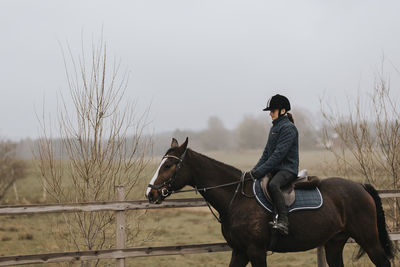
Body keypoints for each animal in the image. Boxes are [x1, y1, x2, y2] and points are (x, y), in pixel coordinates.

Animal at [146, 139, 394, 266]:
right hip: (334, 243)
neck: (235, 198)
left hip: (370, 241)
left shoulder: (256, 251)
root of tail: (361, 186)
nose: (150, 193)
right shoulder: (240, 252)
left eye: (168, 165)